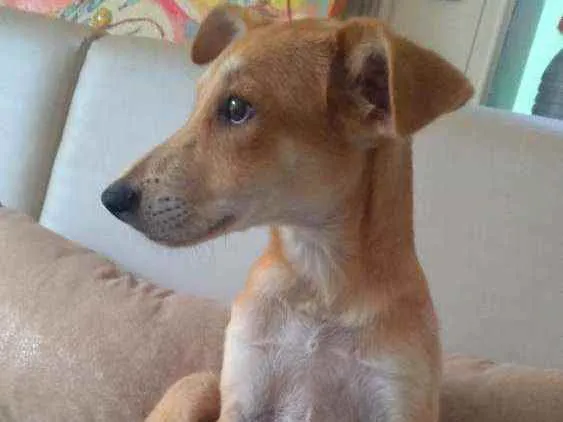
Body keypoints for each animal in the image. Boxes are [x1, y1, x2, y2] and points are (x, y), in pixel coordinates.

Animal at [101, 5, 473, 421]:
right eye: (195, 104)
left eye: (236, 108)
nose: (110, 198)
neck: (320, 285)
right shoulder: (244, 388)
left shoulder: (398, 393)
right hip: (199, 383)